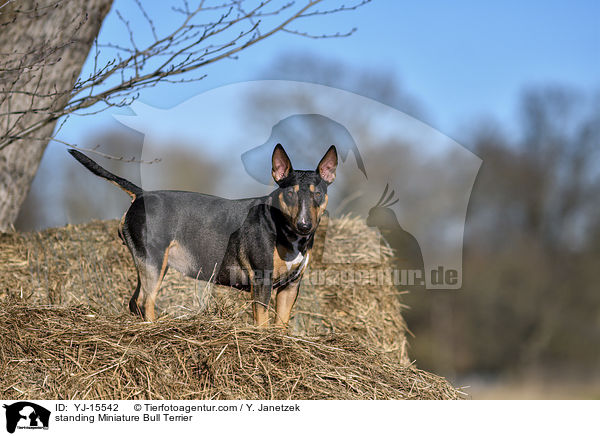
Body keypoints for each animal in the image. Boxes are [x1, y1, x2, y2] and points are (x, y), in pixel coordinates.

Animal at [69, 145, 338, 326]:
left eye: (317, 194)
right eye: (290, 193)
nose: (304, 225)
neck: (285, 230)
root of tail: (142, 194)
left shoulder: (291, 286)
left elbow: (281, 326)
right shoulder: (262, 279)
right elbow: (261, 323)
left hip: (149, 263)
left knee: (136, 301)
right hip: (154, 263)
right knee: (146, 302)